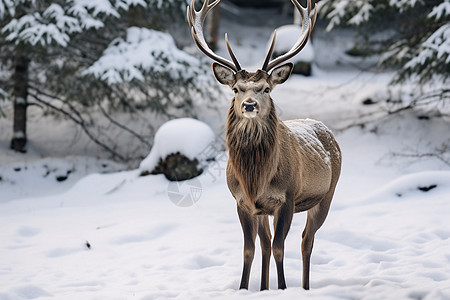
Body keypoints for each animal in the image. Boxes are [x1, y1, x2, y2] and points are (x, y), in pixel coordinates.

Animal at [186, 0, 342, 292]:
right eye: (236, 89)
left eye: (266, 89)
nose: (249, 105)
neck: (256, 176)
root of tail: (328, 133)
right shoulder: (244, 201)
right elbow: (251, 249)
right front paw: (246, 288)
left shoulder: (287, 198)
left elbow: (281, 247)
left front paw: (281, 288)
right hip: (266, 211)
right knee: (268, 244)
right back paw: (265, 286)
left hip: (327, 194)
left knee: (306, 241)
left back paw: (304, 287)